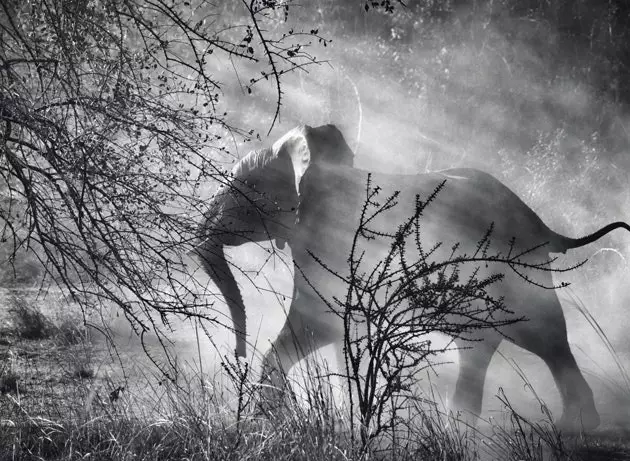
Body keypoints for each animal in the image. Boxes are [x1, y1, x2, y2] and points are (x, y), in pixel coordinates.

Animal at [198, 124, 630, 430]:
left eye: (241, 187)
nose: (235, 354)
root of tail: (542, 224)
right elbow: (336, 330)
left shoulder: (334, 244)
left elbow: (317, 323)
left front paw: (268, 419)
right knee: (484, 343)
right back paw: (465, 427)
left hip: (516, 268)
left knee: (541, 333)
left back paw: (573, 426)